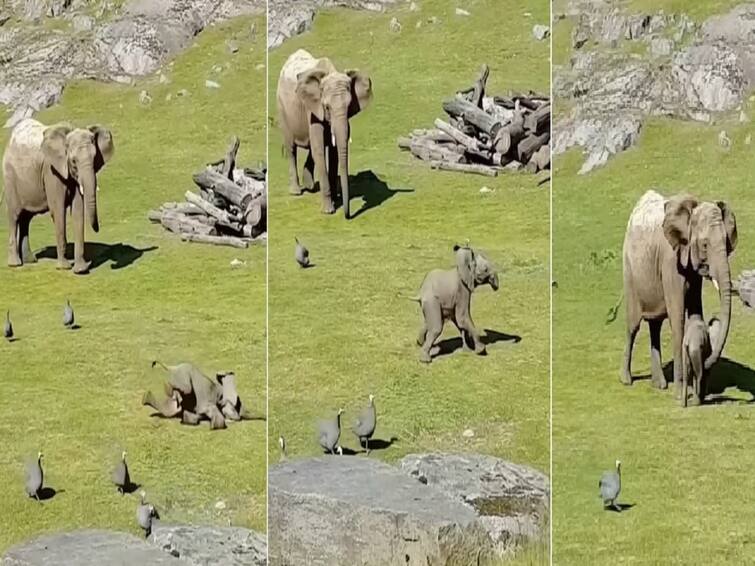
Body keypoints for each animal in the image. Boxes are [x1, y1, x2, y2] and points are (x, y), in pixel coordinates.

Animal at [2, 118, 113, 274]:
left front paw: (81, 270)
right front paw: (64, 268)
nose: (97, 229)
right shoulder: (51, 171)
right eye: (73, 162)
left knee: (26, 218)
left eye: (94, 159)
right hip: (10, 177)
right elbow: (58, 210)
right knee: (15, 216)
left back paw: (30, 260)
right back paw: (15, 264)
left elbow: (78, 211)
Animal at [276, 48, 374, 220]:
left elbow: (333, 153)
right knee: (292, 148)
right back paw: (296, 192)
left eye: (349, 106)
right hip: (282, 109)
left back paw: (309, 186)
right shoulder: (313, 109)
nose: (348, 216)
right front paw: (329, 210)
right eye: (327, 107)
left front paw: (336, 200)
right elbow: (320, 150)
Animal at [620, 189, 740, 402]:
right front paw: (679, 394)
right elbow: (677, 317)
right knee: (633, 326)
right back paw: (626, 380)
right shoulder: (670, 260)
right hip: (629, 270)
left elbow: (694, 309)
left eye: (727, 244)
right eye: (705, 245)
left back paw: (659, 385)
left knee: (655, 324)